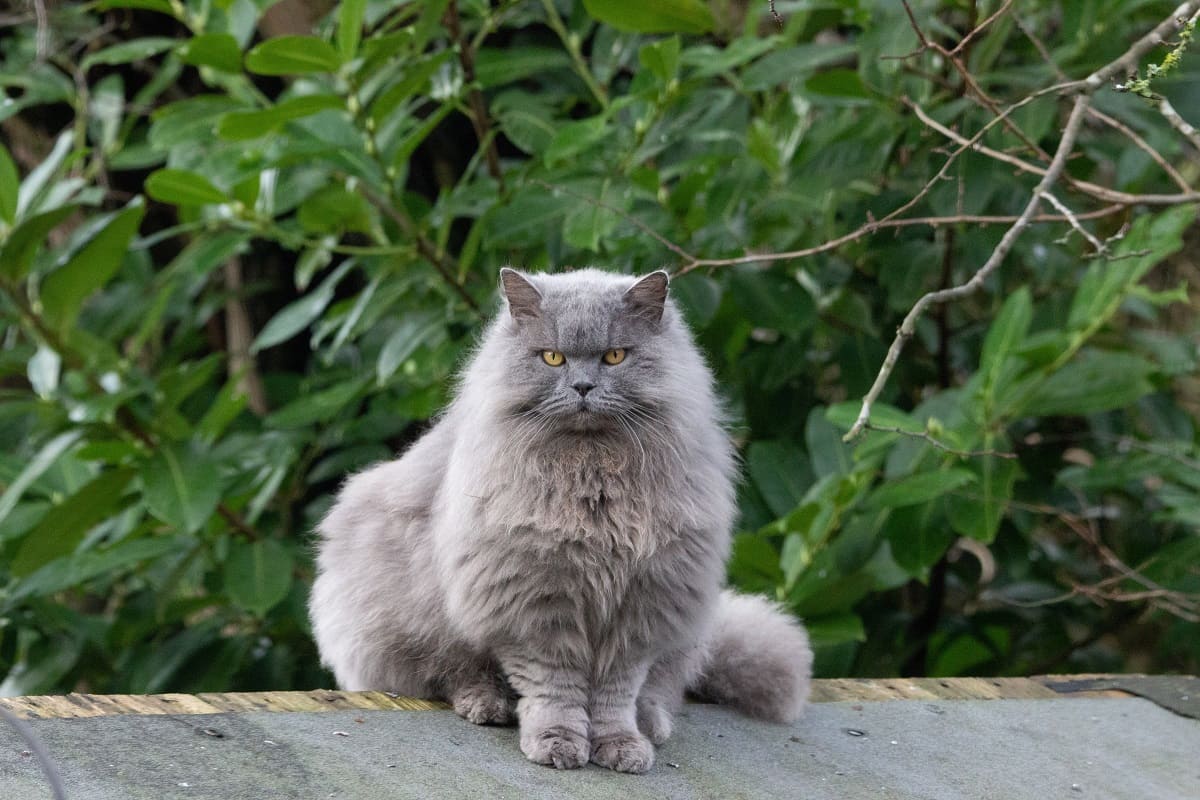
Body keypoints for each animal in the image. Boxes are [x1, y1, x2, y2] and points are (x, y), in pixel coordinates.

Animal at [309, 268, 816, 777]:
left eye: (614, 356)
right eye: (553, 357)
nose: (583, 387)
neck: (591, 476)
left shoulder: (639, 611)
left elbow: (615, 696)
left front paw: (620, 746)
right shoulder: (537, 604)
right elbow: (556, 690)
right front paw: (558, 743)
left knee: (659, 690)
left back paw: (650, 723)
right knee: (452, 673)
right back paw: (488, 704)